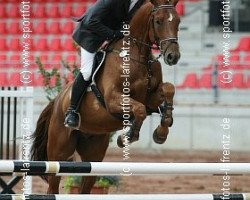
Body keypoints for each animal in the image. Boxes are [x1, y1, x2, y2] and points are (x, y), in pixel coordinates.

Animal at [31, 0, 181, 194]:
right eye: (158, 21)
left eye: (178, 21)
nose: (173, 56)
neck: (136, 56)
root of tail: (56, 101)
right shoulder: (112, 100)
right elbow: (139, 109)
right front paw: (126, 137)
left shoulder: (150, 99)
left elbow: (168, 89)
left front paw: (162, 131)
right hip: (59, 151)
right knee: (53, 184)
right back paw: (71, 117)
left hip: (94, 153)